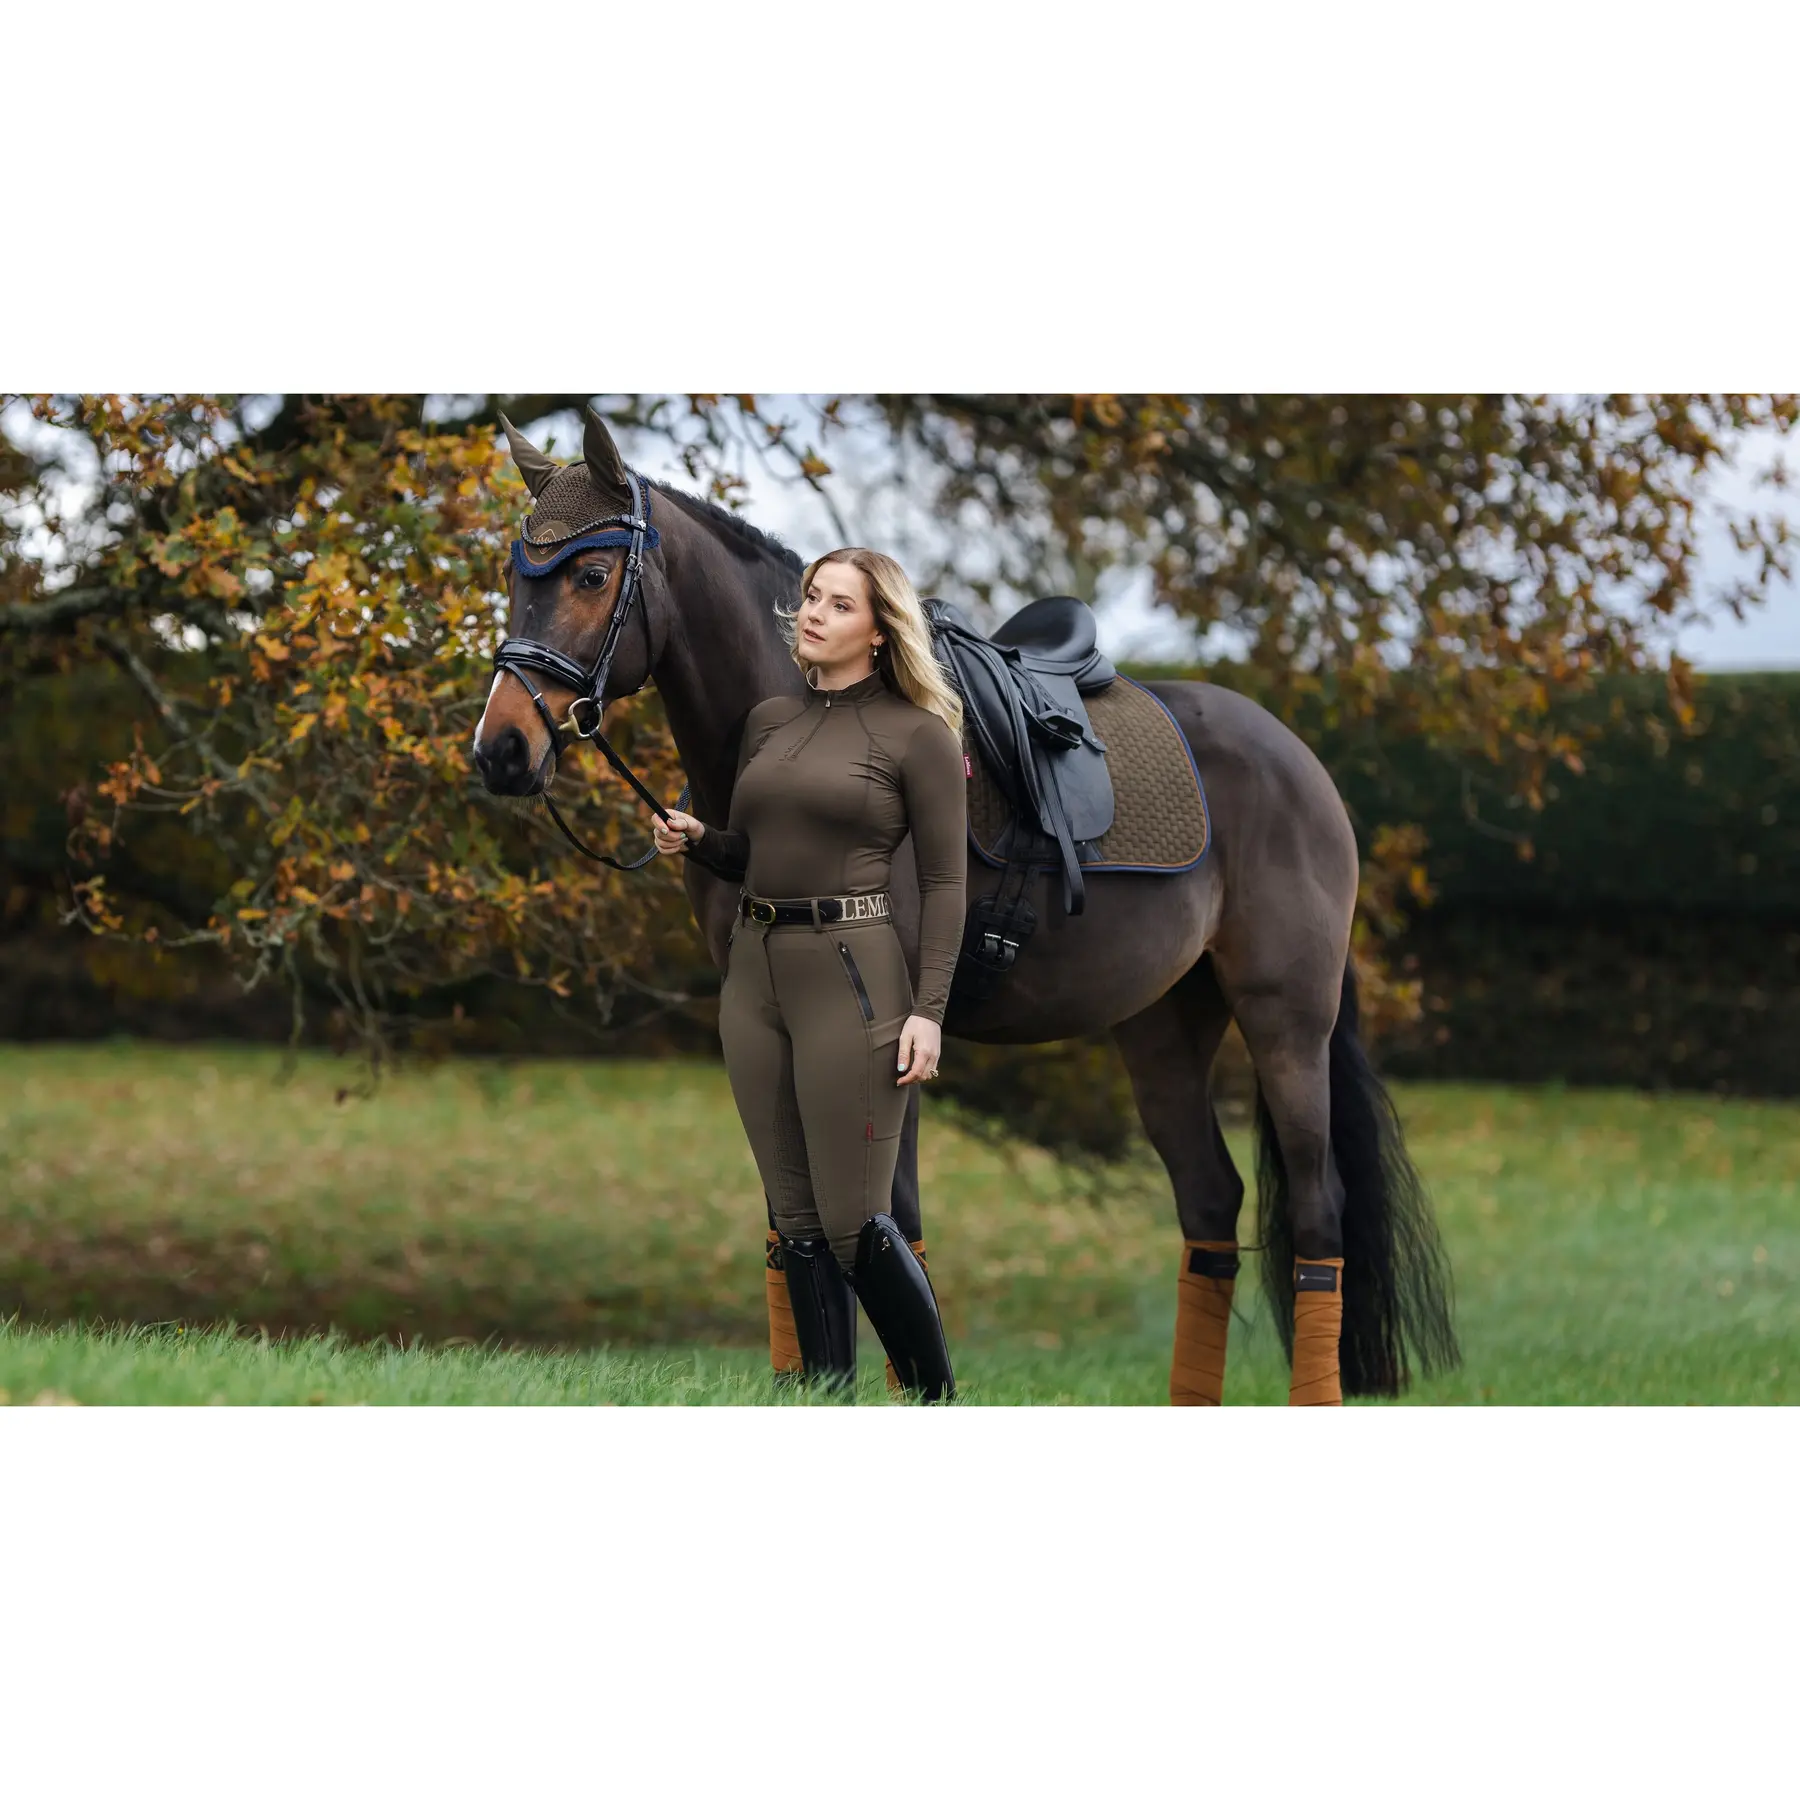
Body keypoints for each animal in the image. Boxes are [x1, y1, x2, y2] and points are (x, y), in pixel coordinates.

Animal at [471, 407, 1459, 1403]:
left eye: (591, 576)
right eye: (516, 577)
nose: (501, 751)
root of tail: (1300, 761)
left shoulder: (893, 1031)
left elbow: (886, 1220)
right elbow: (790, 1223)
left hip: (1285, 1018)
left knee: (1319, 1212)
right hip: (1161, 1026)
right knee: (1210, 1202)